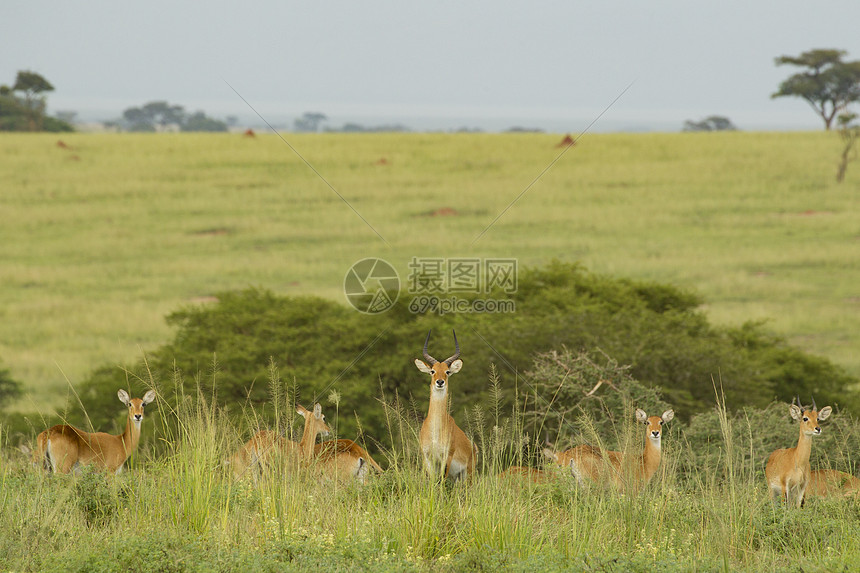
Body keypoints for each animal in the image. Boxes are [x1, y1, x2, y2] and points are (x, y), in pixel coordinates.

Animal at [414, 328, 478, 480]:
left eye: (447, 372)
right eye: (432, 371)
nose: (440, 382)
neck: (435, 432)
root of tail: (473, 447)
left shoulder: (446, 458)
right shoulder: (427, 458)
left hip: (468, 475)